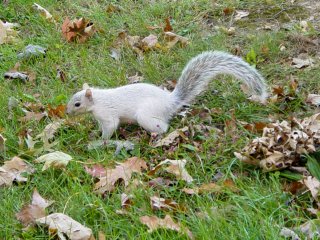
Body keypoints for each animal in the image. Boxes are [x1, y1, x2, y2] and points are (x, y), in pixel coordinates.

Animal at [66, 51, 268, 140]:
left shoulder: (107, 114)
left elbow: (110, 127)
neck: (98, 100)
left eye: (77, 104)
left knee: (163, 126)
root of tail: (171, 101)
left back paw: (157, 135)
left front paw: (102, 141)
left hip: (146, 115)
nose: (67, 113)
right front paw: (95, 134)